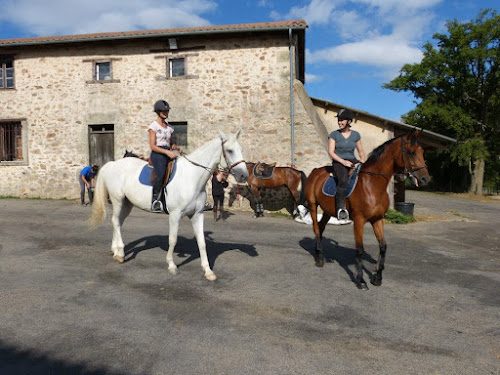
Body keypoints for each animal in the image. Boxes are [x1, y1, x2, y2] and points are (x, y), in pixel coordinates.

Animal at [91, 131, 248, 280]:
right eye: (229, 151)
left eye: (241, 149)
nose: (244, 176)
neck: (192, 177)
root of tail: (113, 164)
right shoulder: (175, 215)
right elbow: (173, 240)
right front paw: (172, 265)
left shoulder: (197, 215)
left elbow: (202, 242)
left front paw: (208, 271)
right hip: (118, 200)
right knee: (115, 221)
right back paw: (120, 254)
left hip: (127, 204)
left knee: (118, 222)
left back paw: (115, 251)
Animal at [304, 130, 430, 290]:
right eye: (412, 152)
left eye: (422, 151)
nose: (426, 179)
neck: (372, 184)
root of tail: (315, 171)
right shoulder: (359, 220)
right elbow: (360, 249)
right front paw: (361, 281)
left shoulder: (377, 219)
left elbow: (383, 246)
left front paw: (377, 277)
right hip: (313, 205)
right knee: (315, 227)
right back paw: (319, 259)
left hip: (327, 210)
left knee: (320, 228)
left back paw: (319, 253)